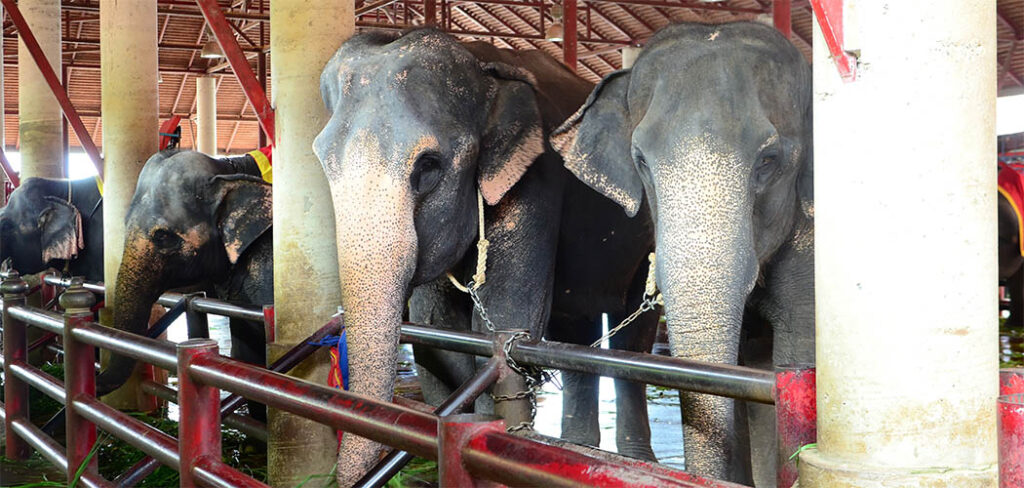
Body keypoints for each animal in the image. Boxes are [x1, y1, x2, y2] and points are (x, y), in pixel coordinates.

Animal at [314, 28, 657, 484]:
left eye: (428, 167)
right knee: (576, 328)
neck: (482, 63)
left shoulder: (536, 174)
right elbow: (437, 334)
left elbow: (506, 317)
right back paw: (578, 447)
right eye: (323, 162)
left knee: (632, 341)